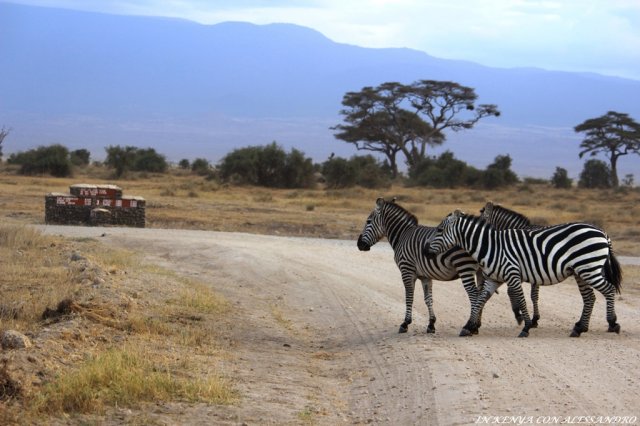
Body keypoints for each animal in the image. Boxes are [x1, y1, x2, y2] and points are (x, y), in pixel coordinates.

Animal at [356, 199, 484, 336]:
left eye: (368, 221)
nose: (359, 244)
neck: (402, 235)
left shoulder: (406, 270)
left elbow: (409, 296)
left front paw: (405, 323)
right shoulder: (425, 276)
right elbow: (428, 299)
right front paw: (431, 324)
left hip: (464, 266)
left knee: (474, 294)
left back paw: (468, 327)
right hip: (481, 270)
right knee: (481, 294)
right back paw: (476, 326)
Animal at [428, 209, 624, 336]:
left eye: (439, 230)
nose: (425, 250)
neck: (491, 247)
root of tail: (602, 233)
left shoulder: (512, 274)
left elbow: (521, 299)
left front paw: (526, 326)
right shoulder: (493, 279)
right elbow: (479, 300)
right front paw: (469, 326)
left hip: (589, 269)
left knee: (608, 290)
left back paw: (613, 323)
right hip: (581, 272)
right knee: (590, 297)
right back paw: (579, 328)